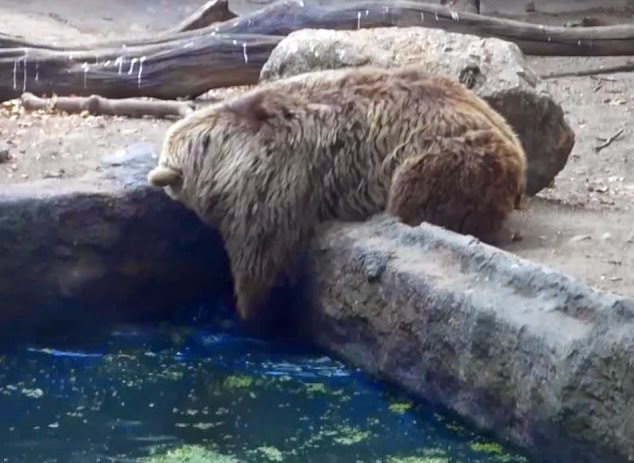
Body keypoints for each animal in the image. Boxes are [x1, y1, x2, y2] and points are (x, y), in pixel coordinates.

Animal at [147, 66, 524, 330]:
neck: (224, 156)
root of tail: (515, 147)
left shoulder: (272, 184)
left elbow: (260, 258)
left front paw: (247, 312)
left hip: (446, 157)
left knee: (416, 193)